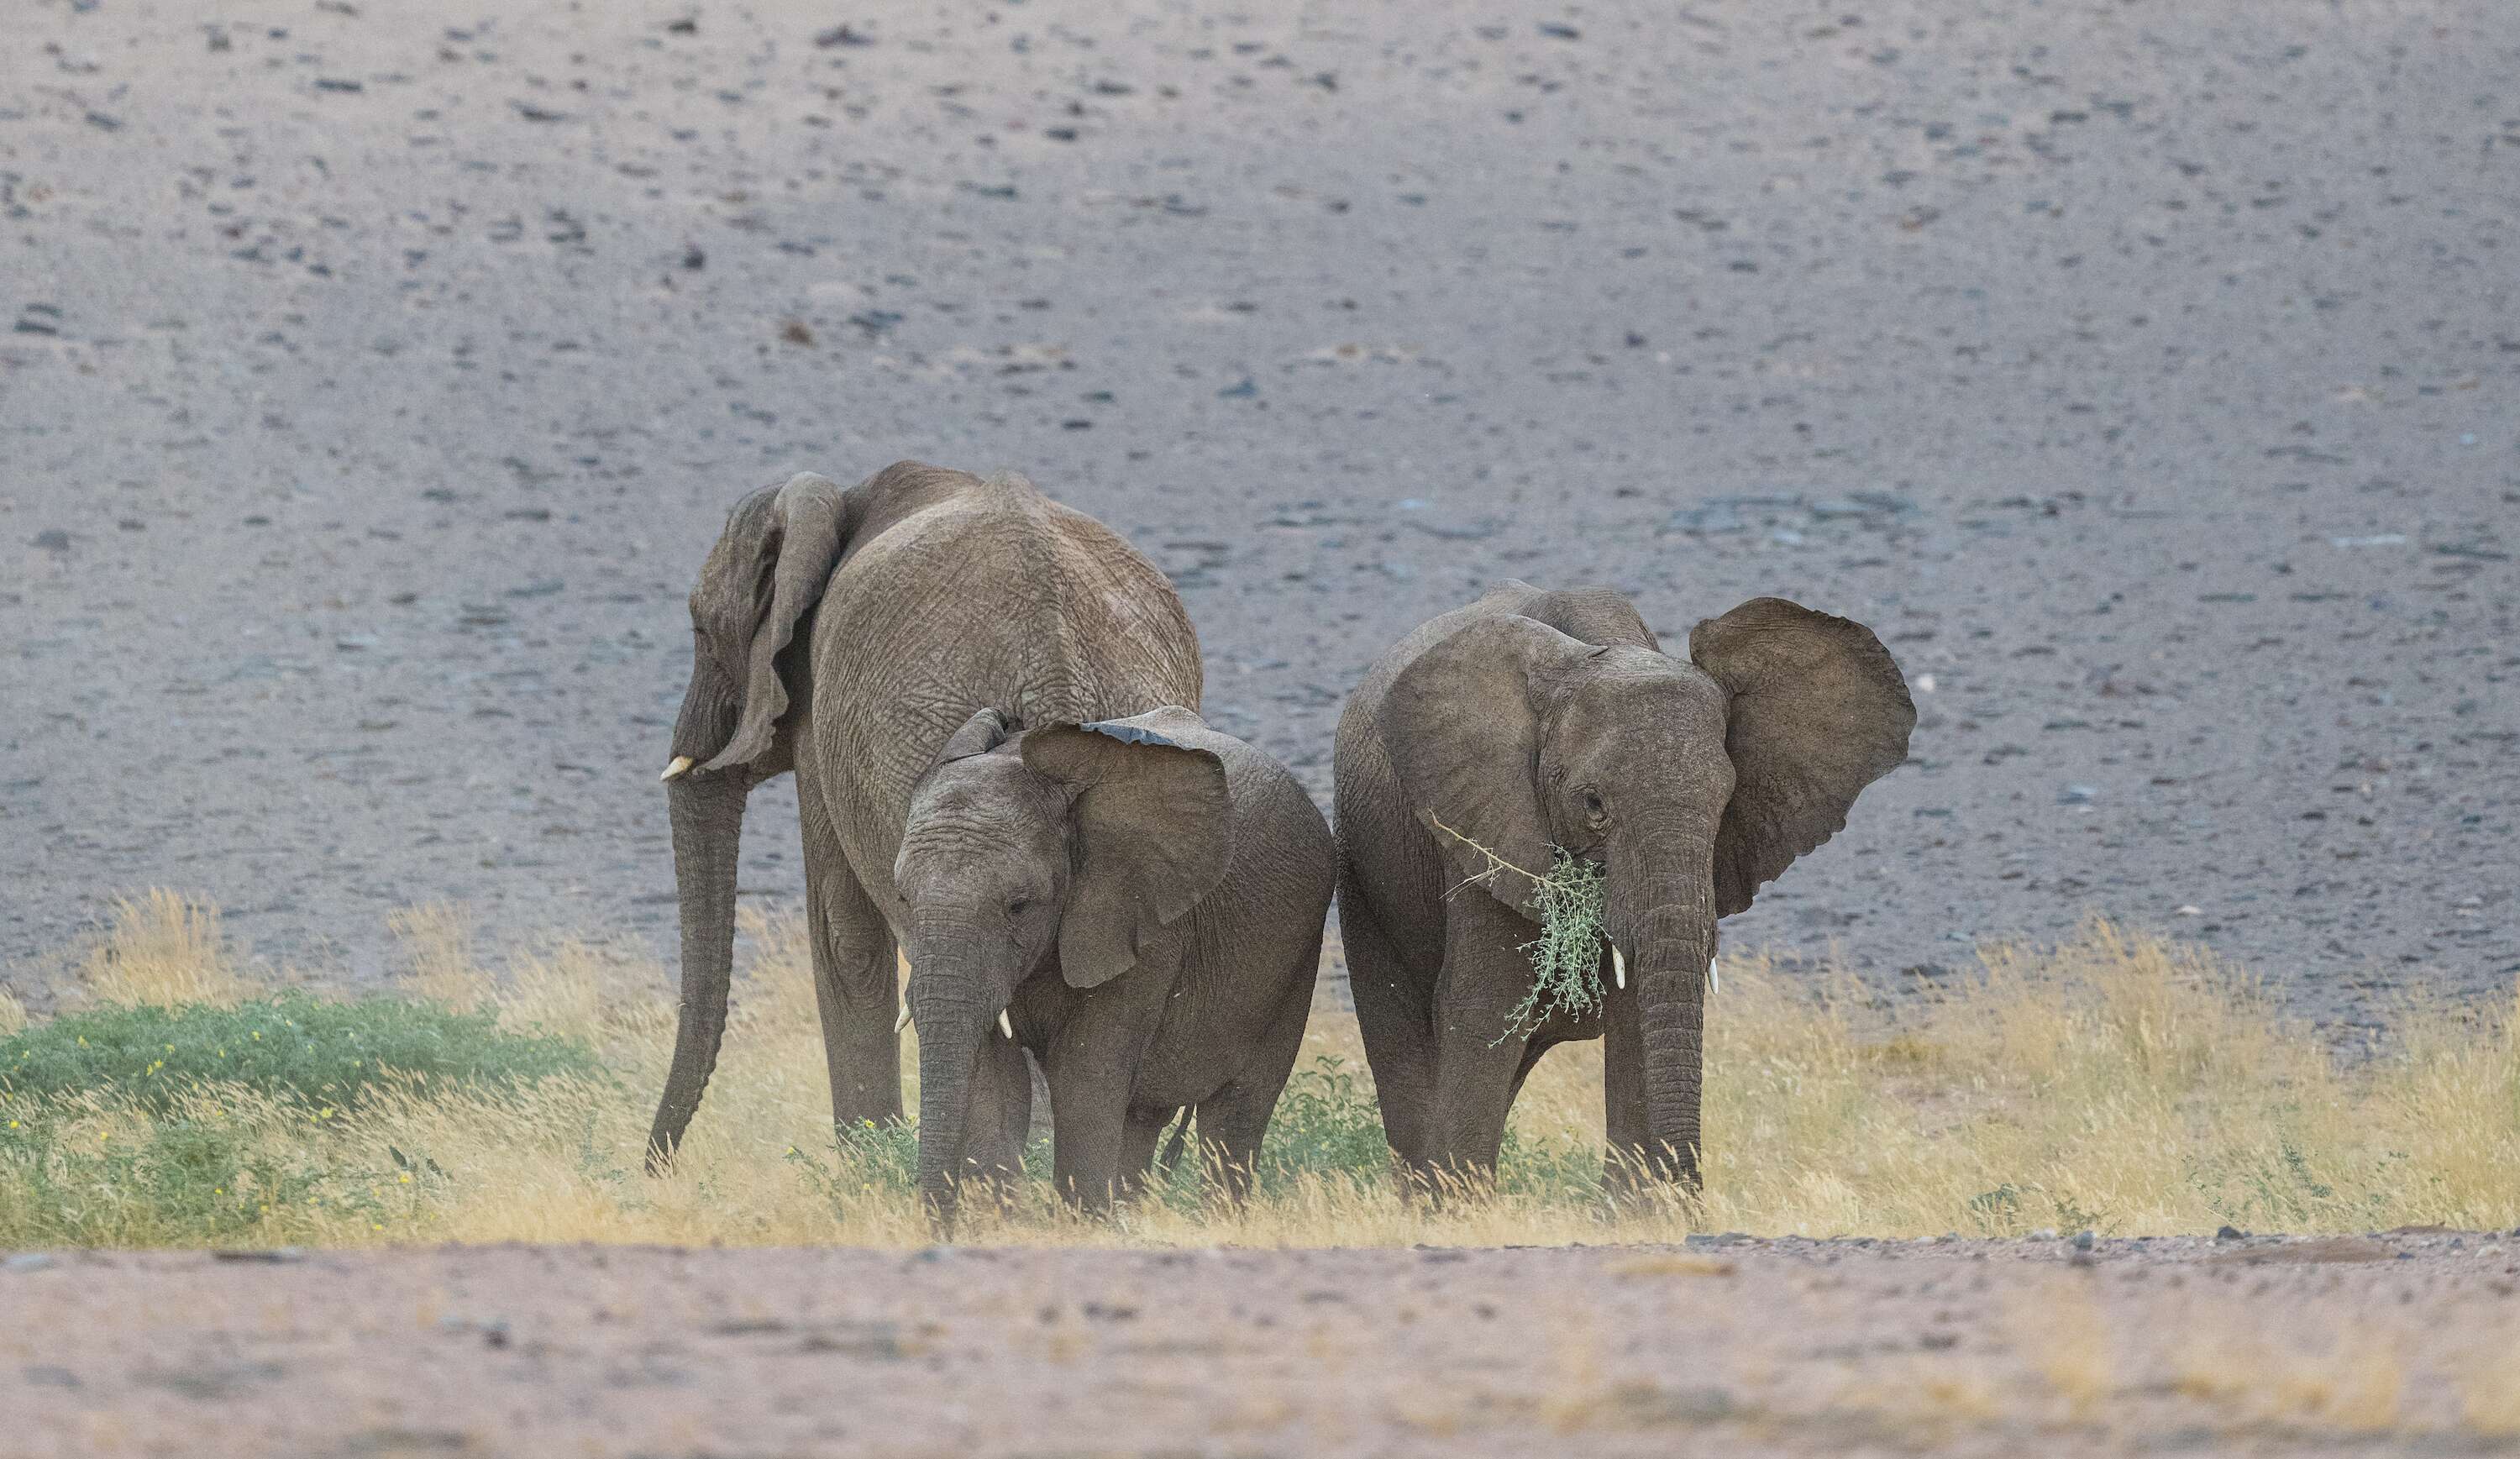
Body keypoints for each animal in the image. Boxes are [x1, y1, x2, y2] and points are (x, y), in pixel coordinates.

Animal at [645, 464, 1205, 1179]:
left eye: (699, 630)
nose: (657, 1168)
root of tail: (1055, 667)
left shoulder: (822, 730)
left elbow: (844, 935)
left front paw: (866, 1162)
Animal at [892, 706, 1341, 1220]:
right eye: (902, 898)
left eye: (1019, 906)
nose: (940, 1225)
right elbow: (994, 1083)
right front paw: (1005, 1222)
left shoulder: (1145, 925)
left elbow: (1083, 1080)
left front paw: (1081, 1223)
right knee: (1143, 1118)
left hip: (1296, 960)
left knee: (1235, 1115)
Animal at [1341, 577, 1905, 1194]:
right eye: (1593, 804)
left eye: (1726, 803)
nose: (1693, 1193)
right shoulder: (1481, 818)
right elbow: (1485, 1005)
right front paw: (1458, 1206)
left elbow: (1638, 1005)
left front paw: (1636, 1206)